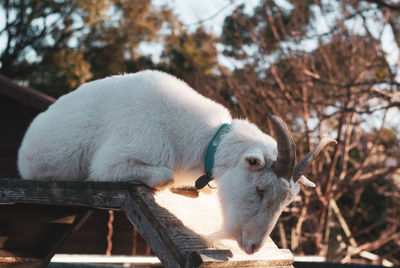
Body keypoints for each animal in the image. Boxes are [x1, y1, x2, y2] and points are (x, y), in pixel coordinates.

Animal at [19, 69, 338, 253]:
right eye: (260, 189)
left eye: (287, 201)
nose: (252, 246)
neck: (202, 139)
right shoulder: (111, 163)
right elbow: (164, 176)